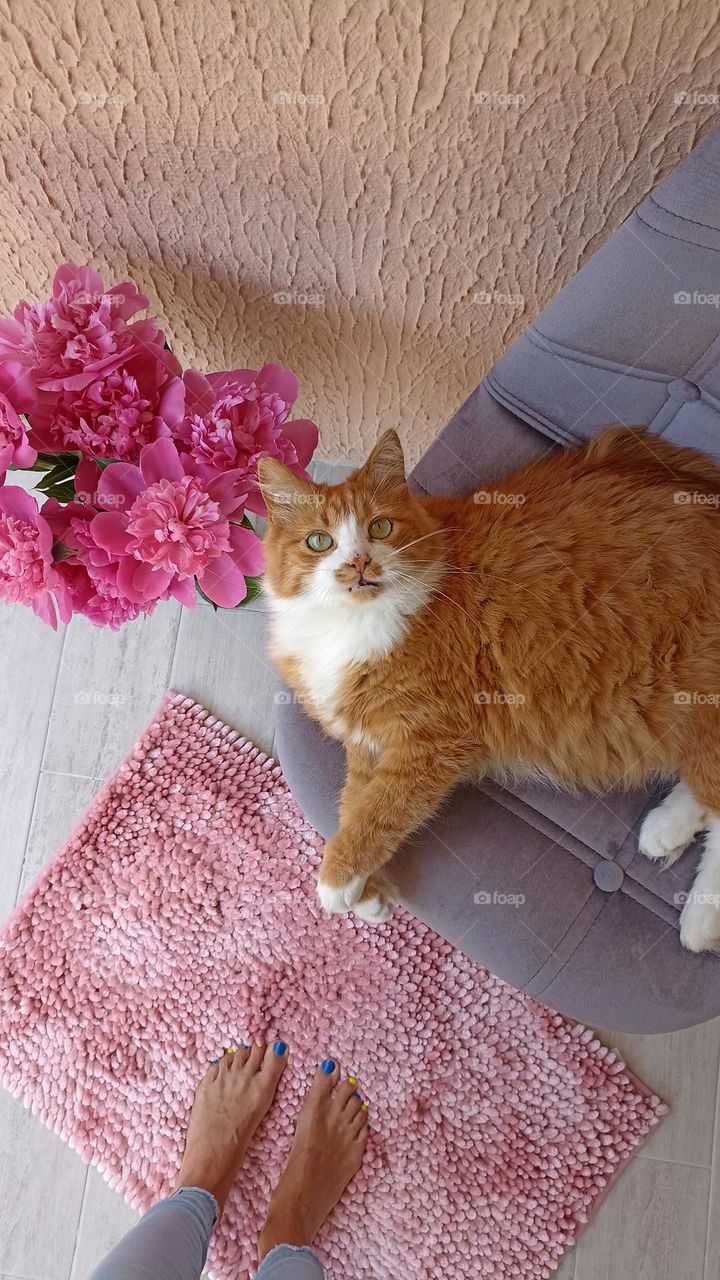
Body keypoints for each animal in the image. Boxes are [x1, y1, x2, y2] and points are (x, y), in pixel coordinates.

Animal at [257, 430, 720, 952]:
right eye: (320, 541)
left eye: (380, 527)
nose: (359, 562)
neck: (350, 627)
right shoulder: (367, 742)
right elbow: (351, 806)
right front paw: (370, 895)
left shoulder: (430, 743)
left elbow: (378, 813)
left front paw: (336, 882)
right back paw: (666, 832)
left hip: (690, 693)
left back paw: (701, 920)